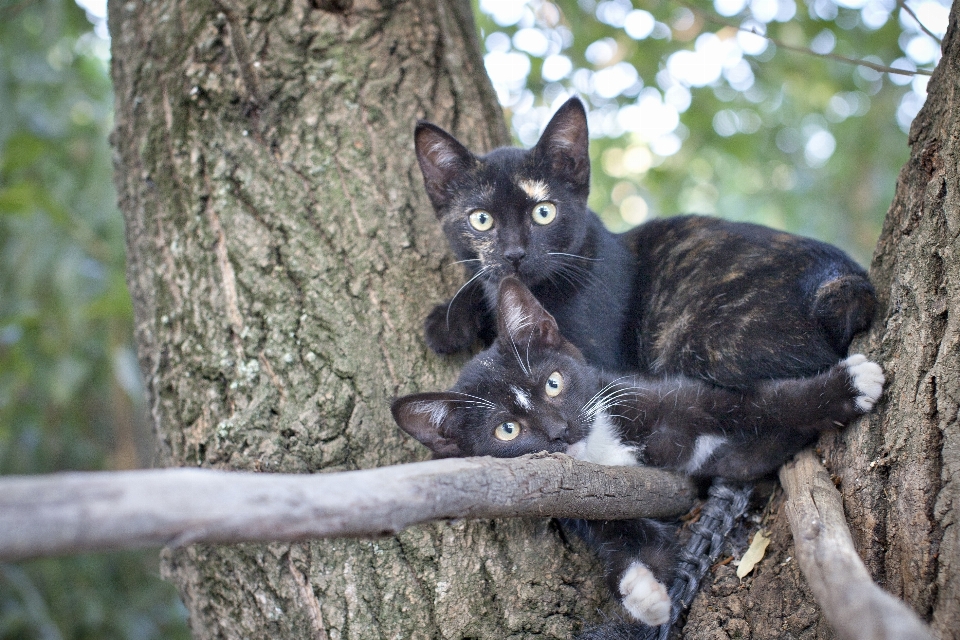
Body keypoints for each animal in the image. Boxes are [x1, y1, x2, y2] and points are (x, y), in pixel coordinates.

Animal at [392, 278, 884, 624]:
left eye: (553, 383)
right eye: (507, 430)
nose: (558, 432)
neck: (603, 451)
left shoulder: (669, 400)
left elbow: (762, 402)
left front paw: (846, 387)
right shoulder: (588, 501)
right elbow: (639, 547)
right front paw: (639, 592)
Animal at [414, 97, 876, 388]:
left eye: (543, 212)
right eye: (481, 219)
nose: (515, 254)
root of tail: (846, 281)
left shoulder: (594, 357)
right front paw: (449, 320)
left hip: (704, 342)